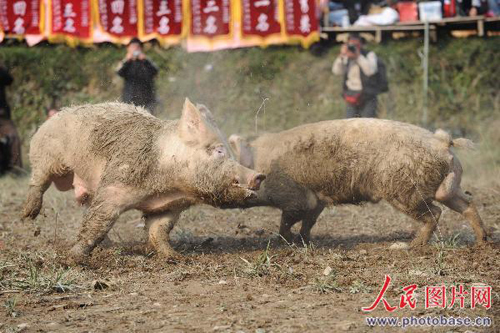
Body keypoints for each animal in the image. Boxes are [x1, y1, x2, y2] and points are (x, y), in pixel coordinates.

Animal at [22, 100, 266, 264]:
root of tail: (59, 113)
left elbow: (158, 231)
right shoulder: (113, 188)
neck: (168, 184)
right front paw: (72, 259)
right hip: (46, 157)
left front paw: (175, 257)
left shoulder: (167, 207)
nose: (258, 176)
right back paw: (28, 215)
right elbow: (97, 224)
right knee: (38, 182)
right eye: (219, 151)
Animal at [229, 118, 486, 246]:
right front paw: (303, 241)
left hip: (404, 190)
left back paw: (411, 246)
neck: (261, 164)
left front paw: (287, 241)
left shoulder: (295, 196)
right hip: (449, 185)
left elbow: (288, 219)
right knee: (466, 205)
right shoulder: (318, 200)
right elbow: (310, 221)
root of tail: (442, 142)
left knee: (435, 213)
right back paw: (482, 243)